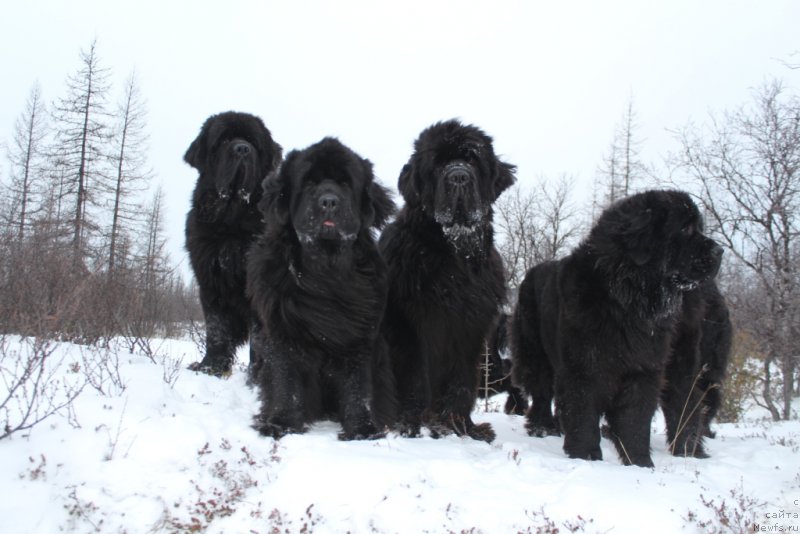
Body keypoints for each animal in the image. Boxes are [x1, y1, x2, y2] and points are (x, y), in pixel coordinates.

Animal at [183, 111, 282, 376]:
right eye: (224, 140)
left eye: (253, 143)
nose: (242, 149)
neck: (232, 223)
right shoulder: (210, 280)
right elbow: (216, 329)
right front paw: (210, 366)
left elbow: (259, 336)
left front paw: (258, 373)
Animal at [244, 138, 394, 444]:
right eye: (309, 183)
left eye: (346, 183)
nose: (329, 202)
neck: (324, 272)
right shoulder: (282, 332)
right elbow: (286, 380)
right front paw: (280, 423)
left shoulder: (358, 337)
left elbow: (358, 386)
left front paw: (363, 430)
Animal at [382, 120, 520, 444]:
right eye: (437, 164)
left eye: (472, 159)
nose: (458, 176)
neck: (454, 257)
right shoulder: (410, 328)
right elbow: (415, 380)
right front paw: (411, 427)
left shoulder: (469, 330)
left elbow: (461, 383)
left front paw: (462, 428)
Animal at [512, 191, 724, 466]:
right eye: (685, 228)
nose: (720, 250)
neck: (627, 301)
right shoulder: (583, 367)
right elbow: (583, 414)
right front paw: (586, 455)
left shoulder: (642, 368)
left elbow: (635, 419)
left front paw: (639, 462)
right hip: (535, 353)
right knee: (541, 391)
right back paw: (542, 428)